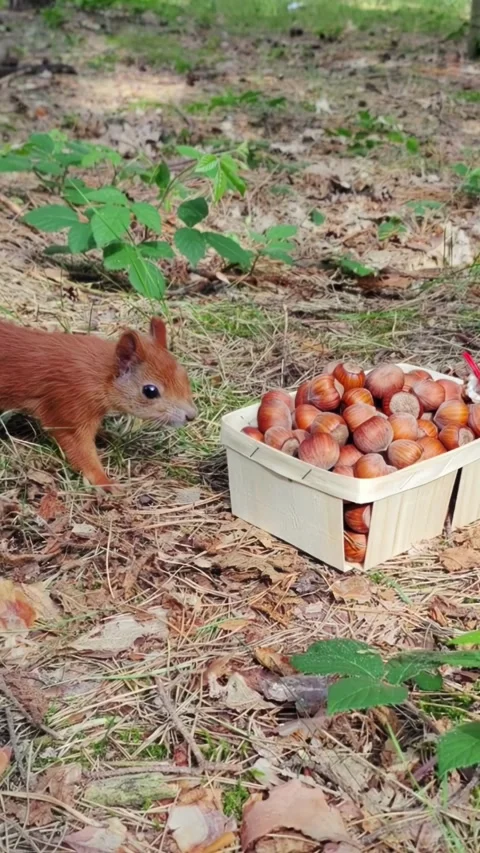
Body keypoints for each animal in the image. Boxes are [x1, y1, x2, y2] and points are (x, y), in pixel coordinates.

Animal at [0, 317, 196, 492]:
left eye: (184, 375)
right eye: (150, 391)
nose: (192, 416)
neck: (100, 374)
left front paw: (108, 436)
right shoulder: (69, 403)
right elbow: (78, 447)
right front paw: (104, 481)